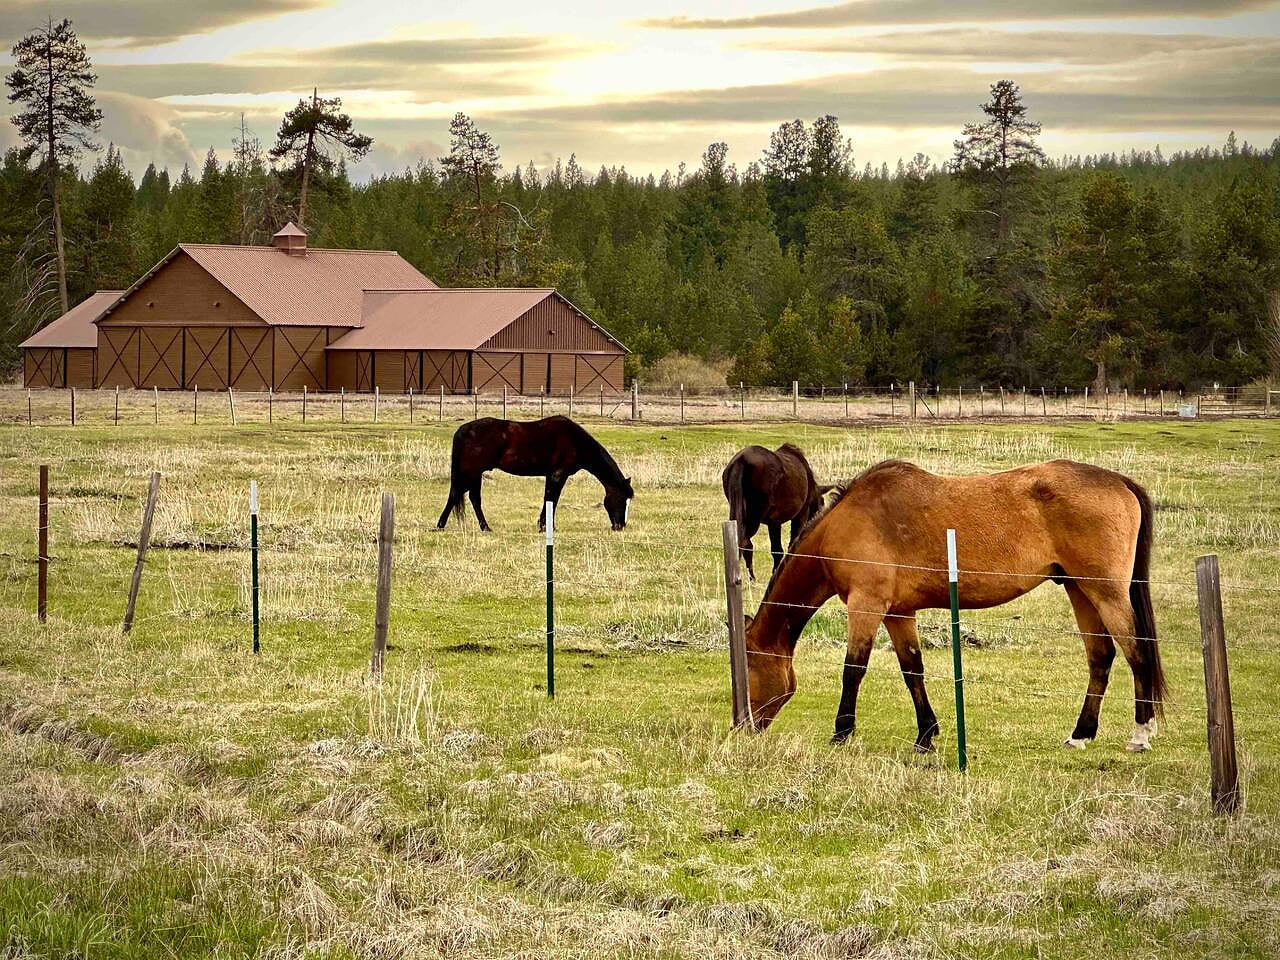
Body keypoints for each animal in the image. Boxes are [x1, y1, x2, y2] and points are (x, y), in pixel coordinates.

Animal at [435, 415, 634, 532]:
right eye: (622, 499)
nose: (620, 526)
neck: (575, 441)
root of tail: (463, 430)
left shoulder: (551, 475)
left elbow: (549, 499)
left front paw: (544, 525)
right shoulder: (558, 475)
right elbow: (552, 499)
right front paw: (547, 527)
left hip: (474, 475)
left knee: (469, 497)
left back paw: (482, 527)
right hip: (471, 473)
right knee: (460, 495)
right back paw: (443, 525)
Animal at [722, 444, 830, 580]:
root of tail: (741, 460)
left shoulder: (773, 522)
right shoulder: (799, 515)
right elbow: (786, 547)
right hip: (754, 517)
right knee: (746, 543)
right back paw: (752, 577)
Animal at [742, 458, 1167, 755]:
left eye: (747, 668)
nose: (743, 726)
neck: (847, 522)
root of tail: (1119, 481)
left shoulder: (866, 605)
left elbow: (853, 670)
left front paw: (842, 732)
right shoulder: (898, 612)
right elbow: (912, 670)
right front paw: (926, 734)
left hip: (1106, 593)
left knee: (1136, 652)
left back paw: (1141, 734)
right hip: (1080, 591)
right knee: (1101, 657)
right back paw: (1081, 734)